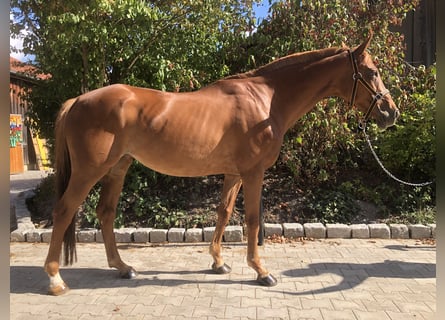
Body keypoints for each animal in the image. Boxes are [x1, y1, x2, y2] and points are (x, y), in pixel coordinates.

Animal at [45, 33, 398, 296]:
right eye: (372, 72)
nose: (391, 113)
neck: (266, 101)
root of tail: (77, 101)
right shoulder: (253, 173)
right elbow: (253, 220)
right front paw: (261, 271)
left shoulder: (233, 173)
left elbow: (224, 212)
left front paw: (218, 263)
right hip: (89, 171)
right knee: (64, 210)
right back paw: (55, 279)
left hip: (118, 167)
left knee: (105, 212)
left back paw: (122, 267)